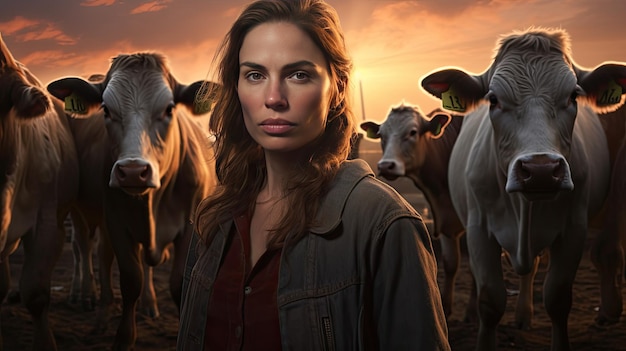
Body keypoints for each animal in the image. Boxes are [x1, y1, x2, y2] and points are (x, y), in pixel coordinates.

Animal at [47, 53, 217, 351]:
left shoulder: (189, 226)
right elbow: (130, 280)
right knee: (86, 248)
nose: (134, 171)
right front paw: (123, 338)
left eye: (169, 109)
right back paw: (89, 299)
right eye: (105, 110)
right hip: (79, 209)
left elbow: (177, 283)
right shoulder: (116, 222)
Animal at [420, 28, 624, 351]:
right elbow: (490, 302)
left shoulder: (574, 229)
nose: (541, 171)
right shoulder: (478, 230)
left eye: (573, 96)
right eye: (493, 99)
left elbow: (557, 299)